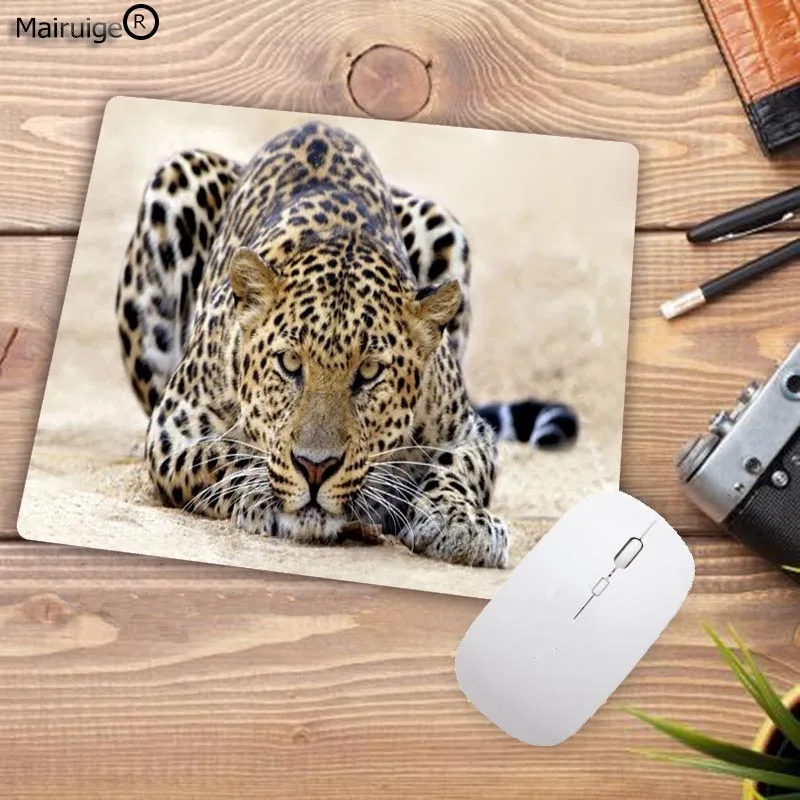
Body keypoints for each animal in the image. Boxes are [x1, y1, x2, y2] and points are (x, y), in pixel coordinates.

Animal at [115, 121, 578, 568]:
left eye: (370, 372)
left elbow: (456, 469)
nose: (315, 468)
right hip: (176, 179)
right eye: (289, 363)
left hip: (440, 223)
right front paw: (263, 492)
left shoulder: (471, 433)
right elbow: (225, 455)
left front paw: (461, 522)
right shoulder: (173, 430)